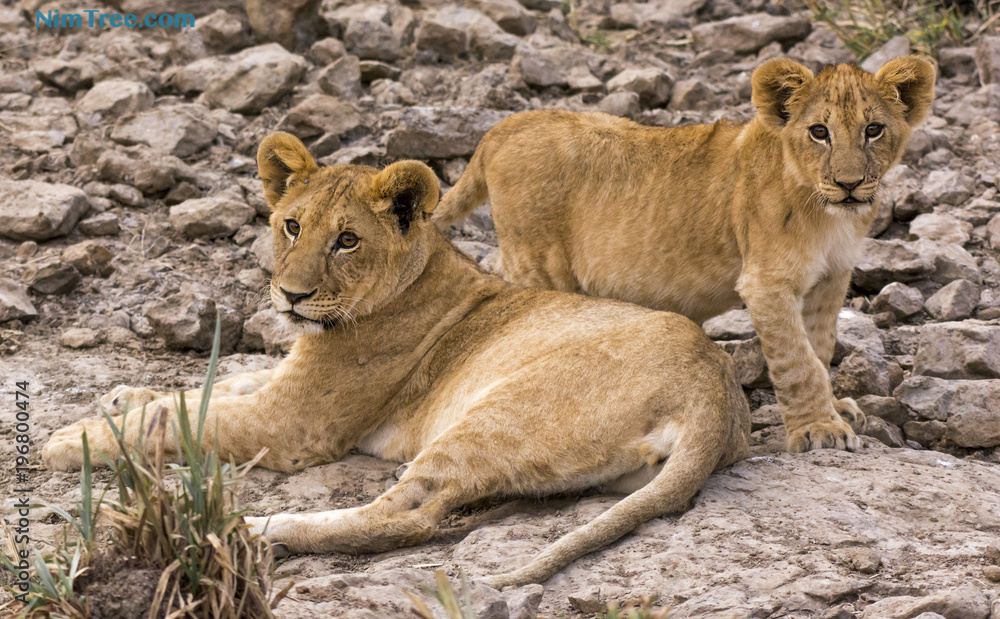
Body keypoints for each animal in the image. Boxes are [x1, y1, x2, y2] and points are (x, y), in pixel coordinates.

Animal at [42, 132, 750, 588]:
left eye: (347, 241)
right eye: (292, 226)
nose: (290, 295)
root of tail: (713, 389)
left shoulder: (295, 425)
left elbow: (189, 418)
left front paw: (71, 439)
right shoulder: (285, 382)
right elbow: (217, 384)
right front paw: (120, 398)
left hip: (495, 414)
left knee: (402, 518)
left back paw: (259, 527)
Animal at [434, 56, 936, 454]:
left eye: (873, 130)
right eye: (819, 132)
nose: (850, 184)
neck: (829, 215)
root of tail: (500, 129)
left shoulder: (831, 280)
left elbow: (819, 348)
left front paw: (834, 410)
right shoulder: (765, 281)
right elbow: (797, 361)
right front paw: (817, 430)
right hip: (538, 263)